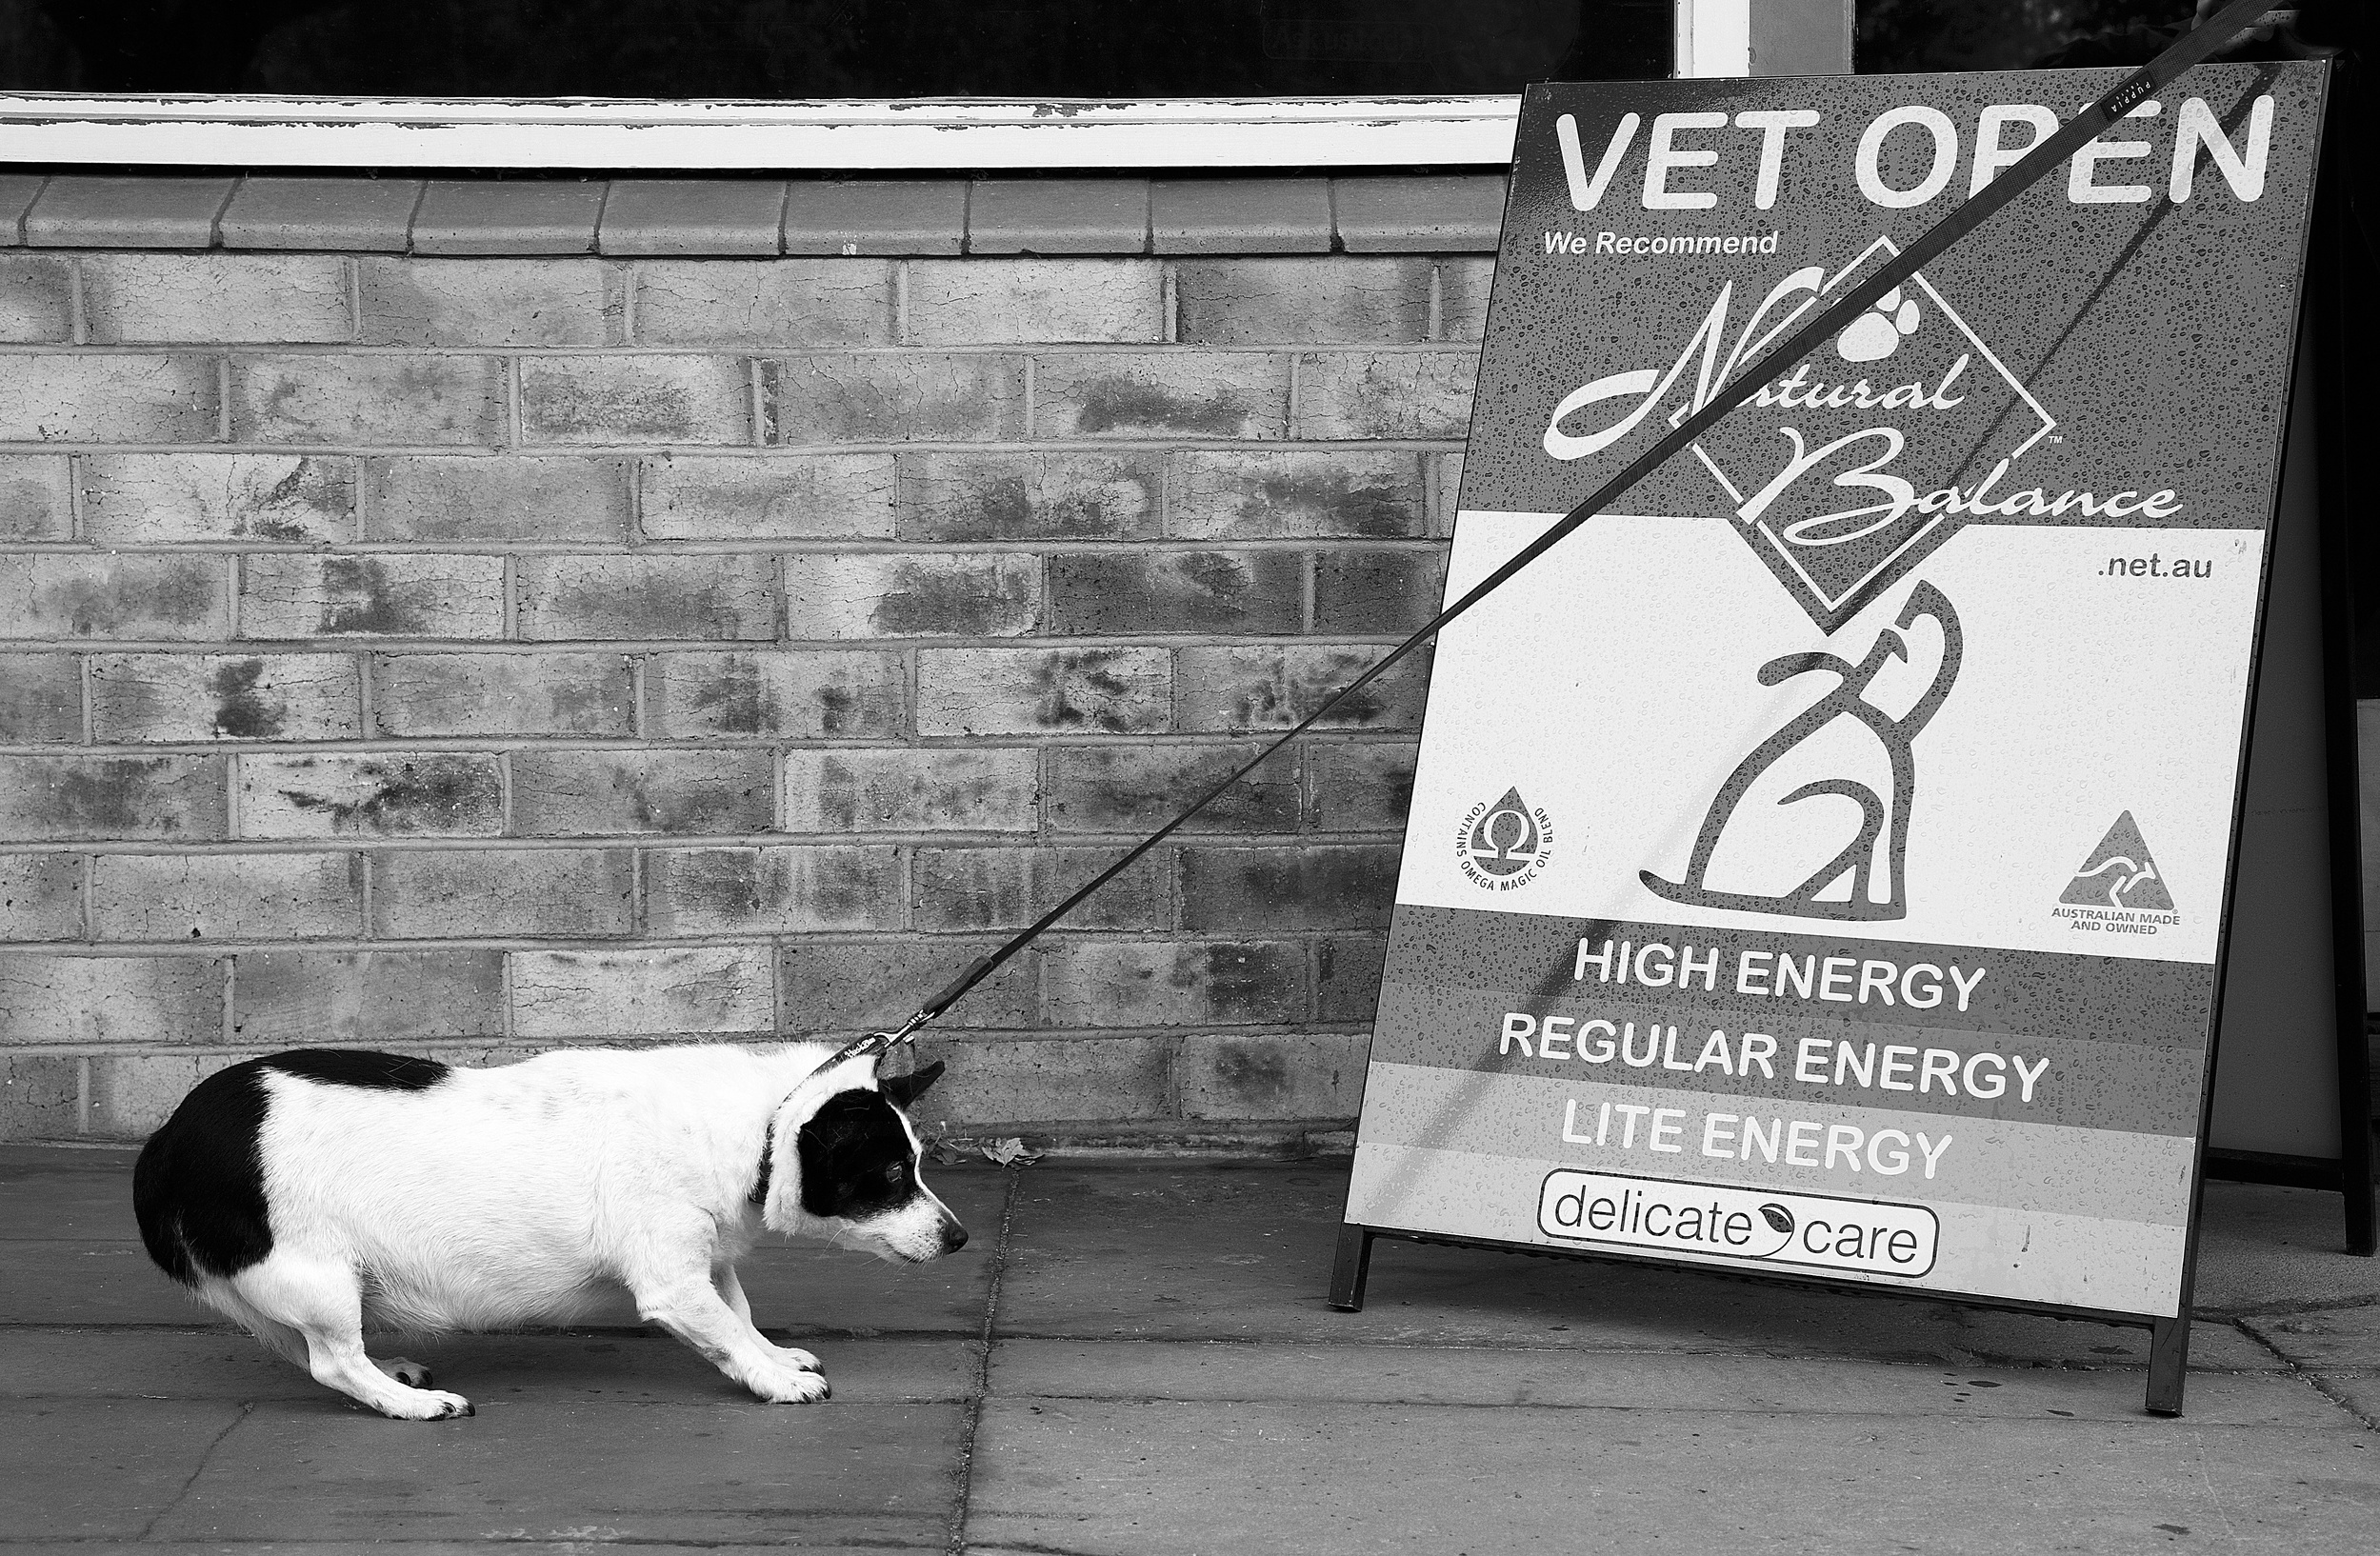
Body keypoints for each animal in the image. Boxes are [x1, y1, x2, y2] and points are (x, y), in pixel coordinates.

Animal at [131, 1042, 963, 1420]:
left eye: (917, 1164)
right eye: (890, 1176)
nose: (958, 1239)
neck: (758, 1126)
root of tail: (167, 1140)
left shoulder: (705, 1260)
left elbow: (741, 1313)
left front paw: (777, 1356)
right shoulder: (670, 1282)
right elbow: (726, 1334)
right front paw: (776, 1382)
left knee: (301, 1348)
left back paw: (393, 1373)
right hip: (318, 1275)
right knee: (331, 1362)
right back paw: (411, 1406)